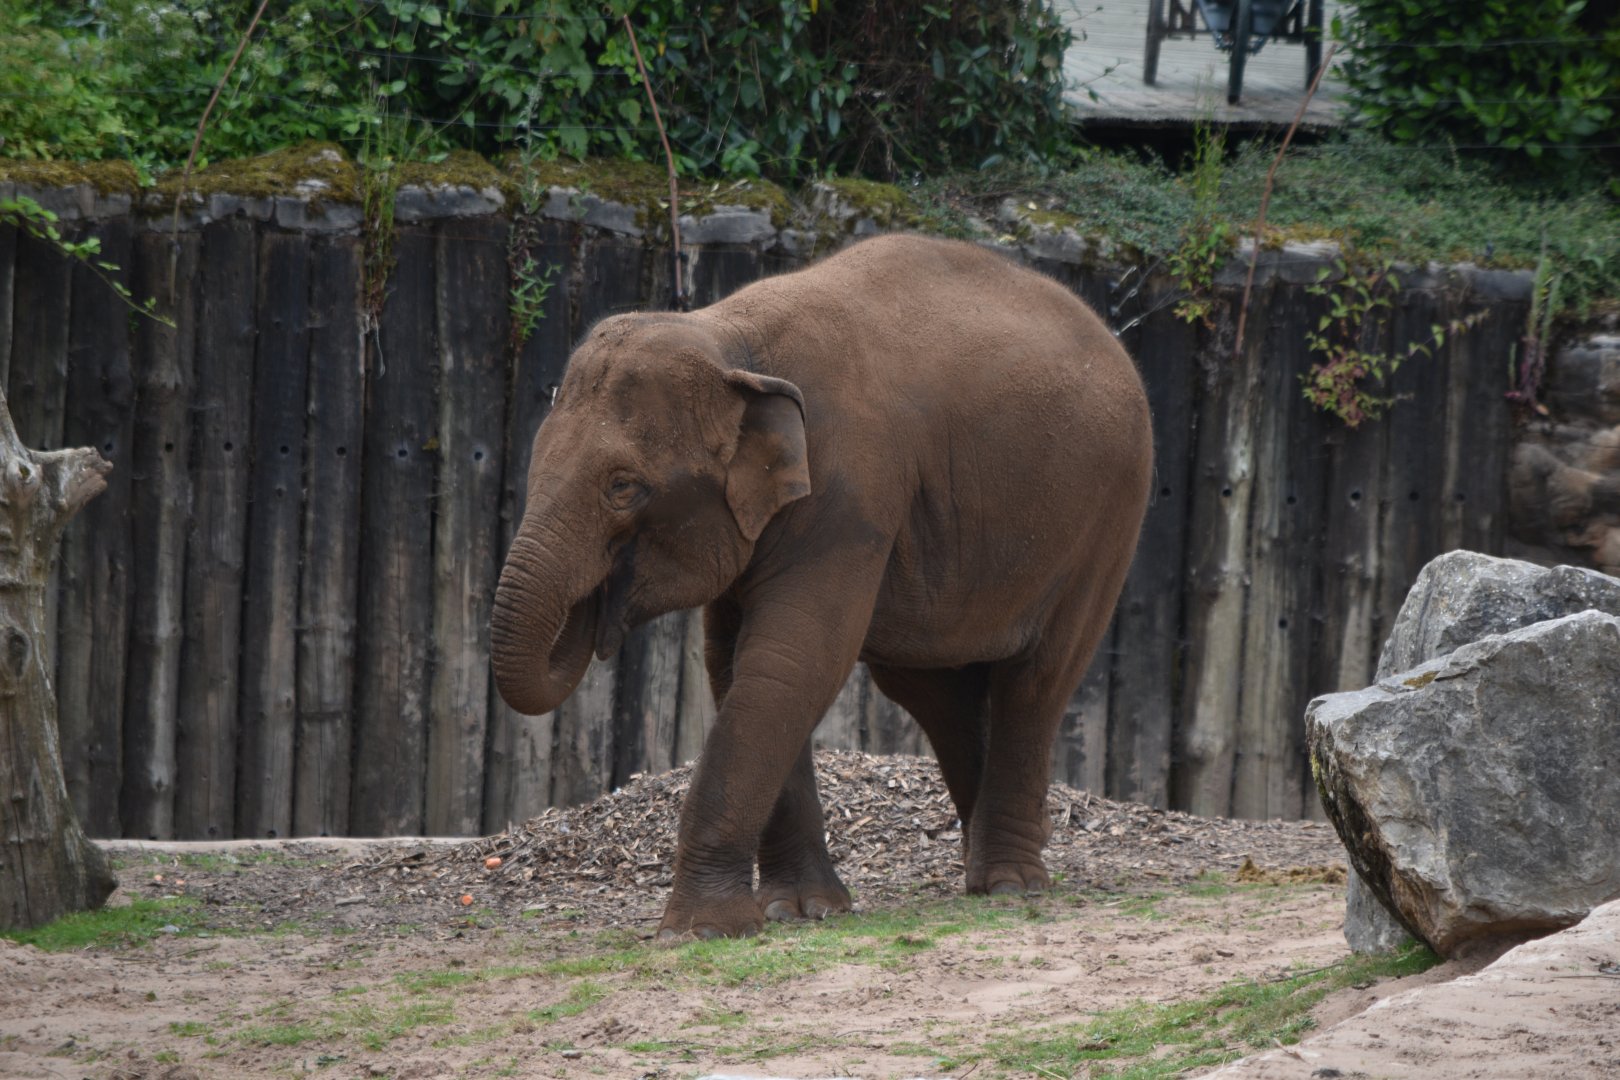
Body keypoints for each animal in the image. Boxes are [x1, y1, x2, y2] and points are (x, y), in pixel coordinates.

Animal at [491, 233, 1153, 940]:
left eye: (623, 487)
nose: (598, 609)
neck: (732, 338)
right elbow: (735, 665)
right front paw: (800, 910)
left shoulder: (851, 491)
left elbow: (792, 661)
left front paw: (701, 929)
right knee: (935, 689)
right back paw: (993, 867)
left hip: (1109, 520)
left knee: (1037, 679)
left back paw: (1010, 884)